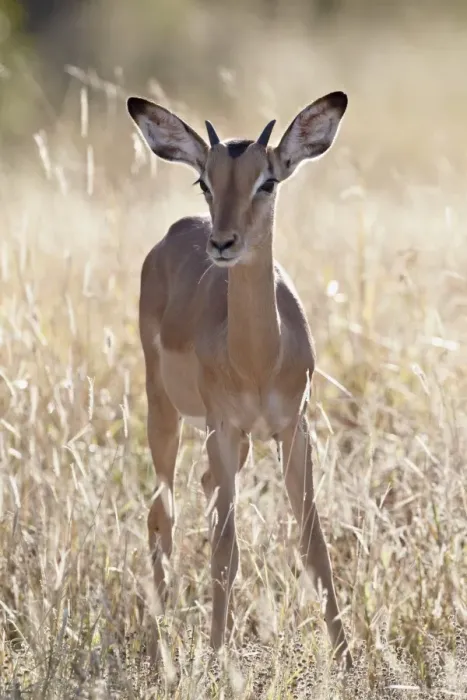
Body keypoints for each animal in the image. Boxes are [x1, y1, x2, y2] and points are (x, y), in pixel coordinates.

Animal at [127, 90, 352, 668]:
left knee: (203, 490)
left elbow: (314, 545)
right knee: (162, 513)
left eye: (267, 180)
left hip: (242, 440)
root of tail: (176, 232)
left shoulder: (294, 429)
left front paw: (348, 663)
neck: (258, 360)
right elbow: (228, 553)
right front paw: (216, 659)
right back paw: (160, 643)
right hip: (165, 411)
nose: (223, 243)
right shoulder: (222, 427)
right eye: (204, 181)